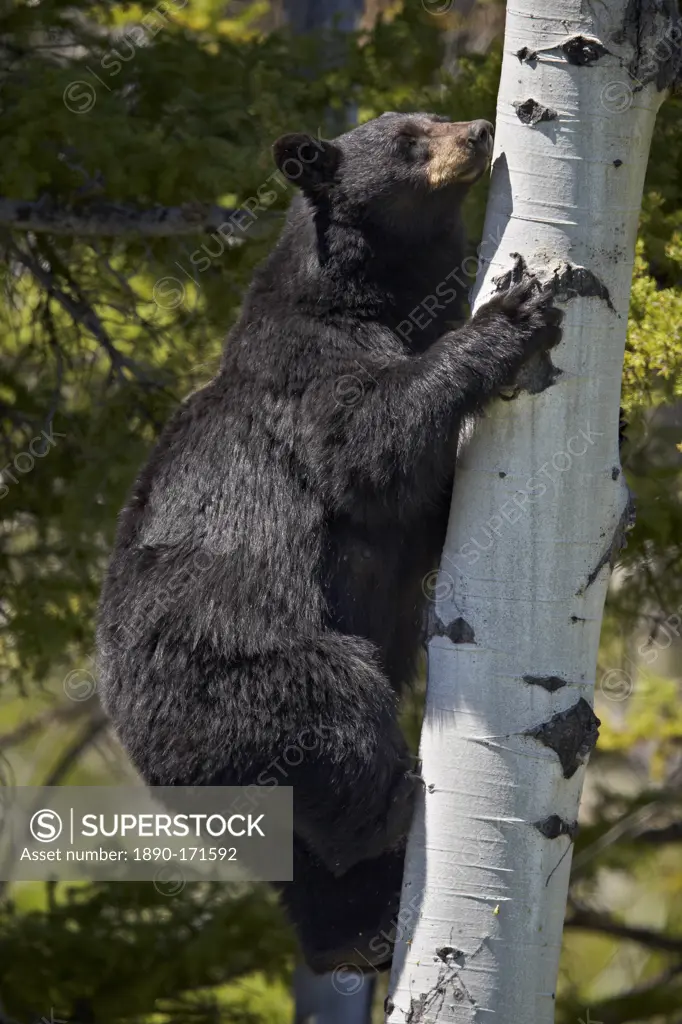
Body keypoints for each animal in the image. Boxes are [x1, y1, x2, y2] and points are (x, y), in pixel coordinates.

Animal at [96, 112, 561, 974]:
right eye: (408, 136)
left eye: (428, 115)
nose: (477, 129)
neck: (366, 294)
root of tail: (151, 765)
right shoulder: (308, 370)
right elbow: (372, 443)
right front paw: (512, 314)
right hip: (242, 679)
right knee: (337, 709)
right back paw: (391, 807)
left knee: (304, 864)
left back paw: (356, 930)